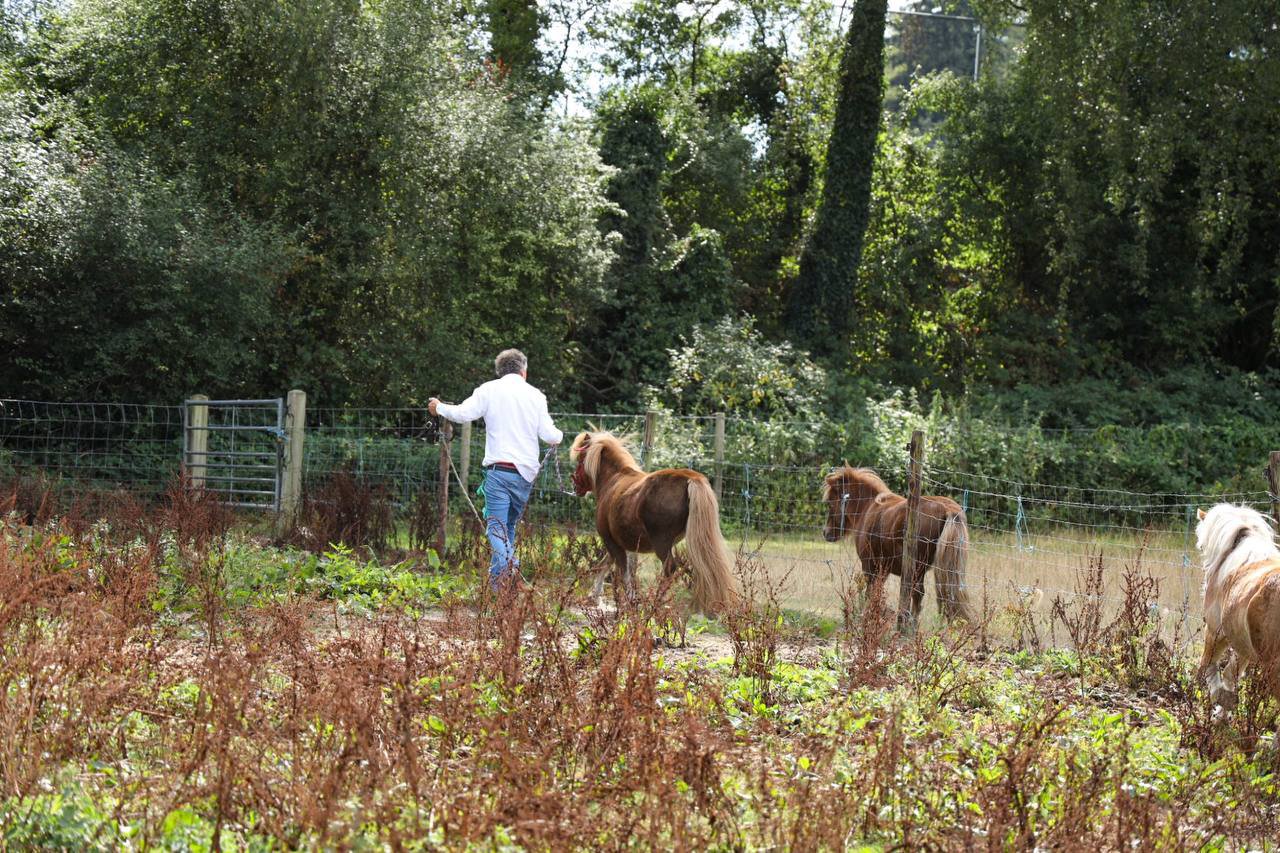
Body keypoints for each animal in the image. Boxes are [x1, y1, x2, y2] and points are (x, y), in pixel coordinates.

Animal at [569, 430, 739, 614]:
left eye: (580, 460)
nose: (575, 486)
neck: (613, 480)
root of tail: (690, 478)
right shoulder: (619, 543)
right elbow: (605, 564)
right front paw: (595, 595)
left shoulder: (610, 540)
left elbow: (622, 572)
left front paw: (629, 602)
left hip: (661, 543)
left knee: (669, 568)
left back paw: (656, 604)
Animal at [821, 466, 973, 630]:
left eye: (830, 503)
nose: (826, 533)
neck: (868, 506)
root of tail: (948, 509)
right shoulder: (883, 570)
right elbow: (877, 593)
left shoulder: (870, 567)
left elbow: (870, 594)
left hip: (917, 569)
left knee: (917, 594)